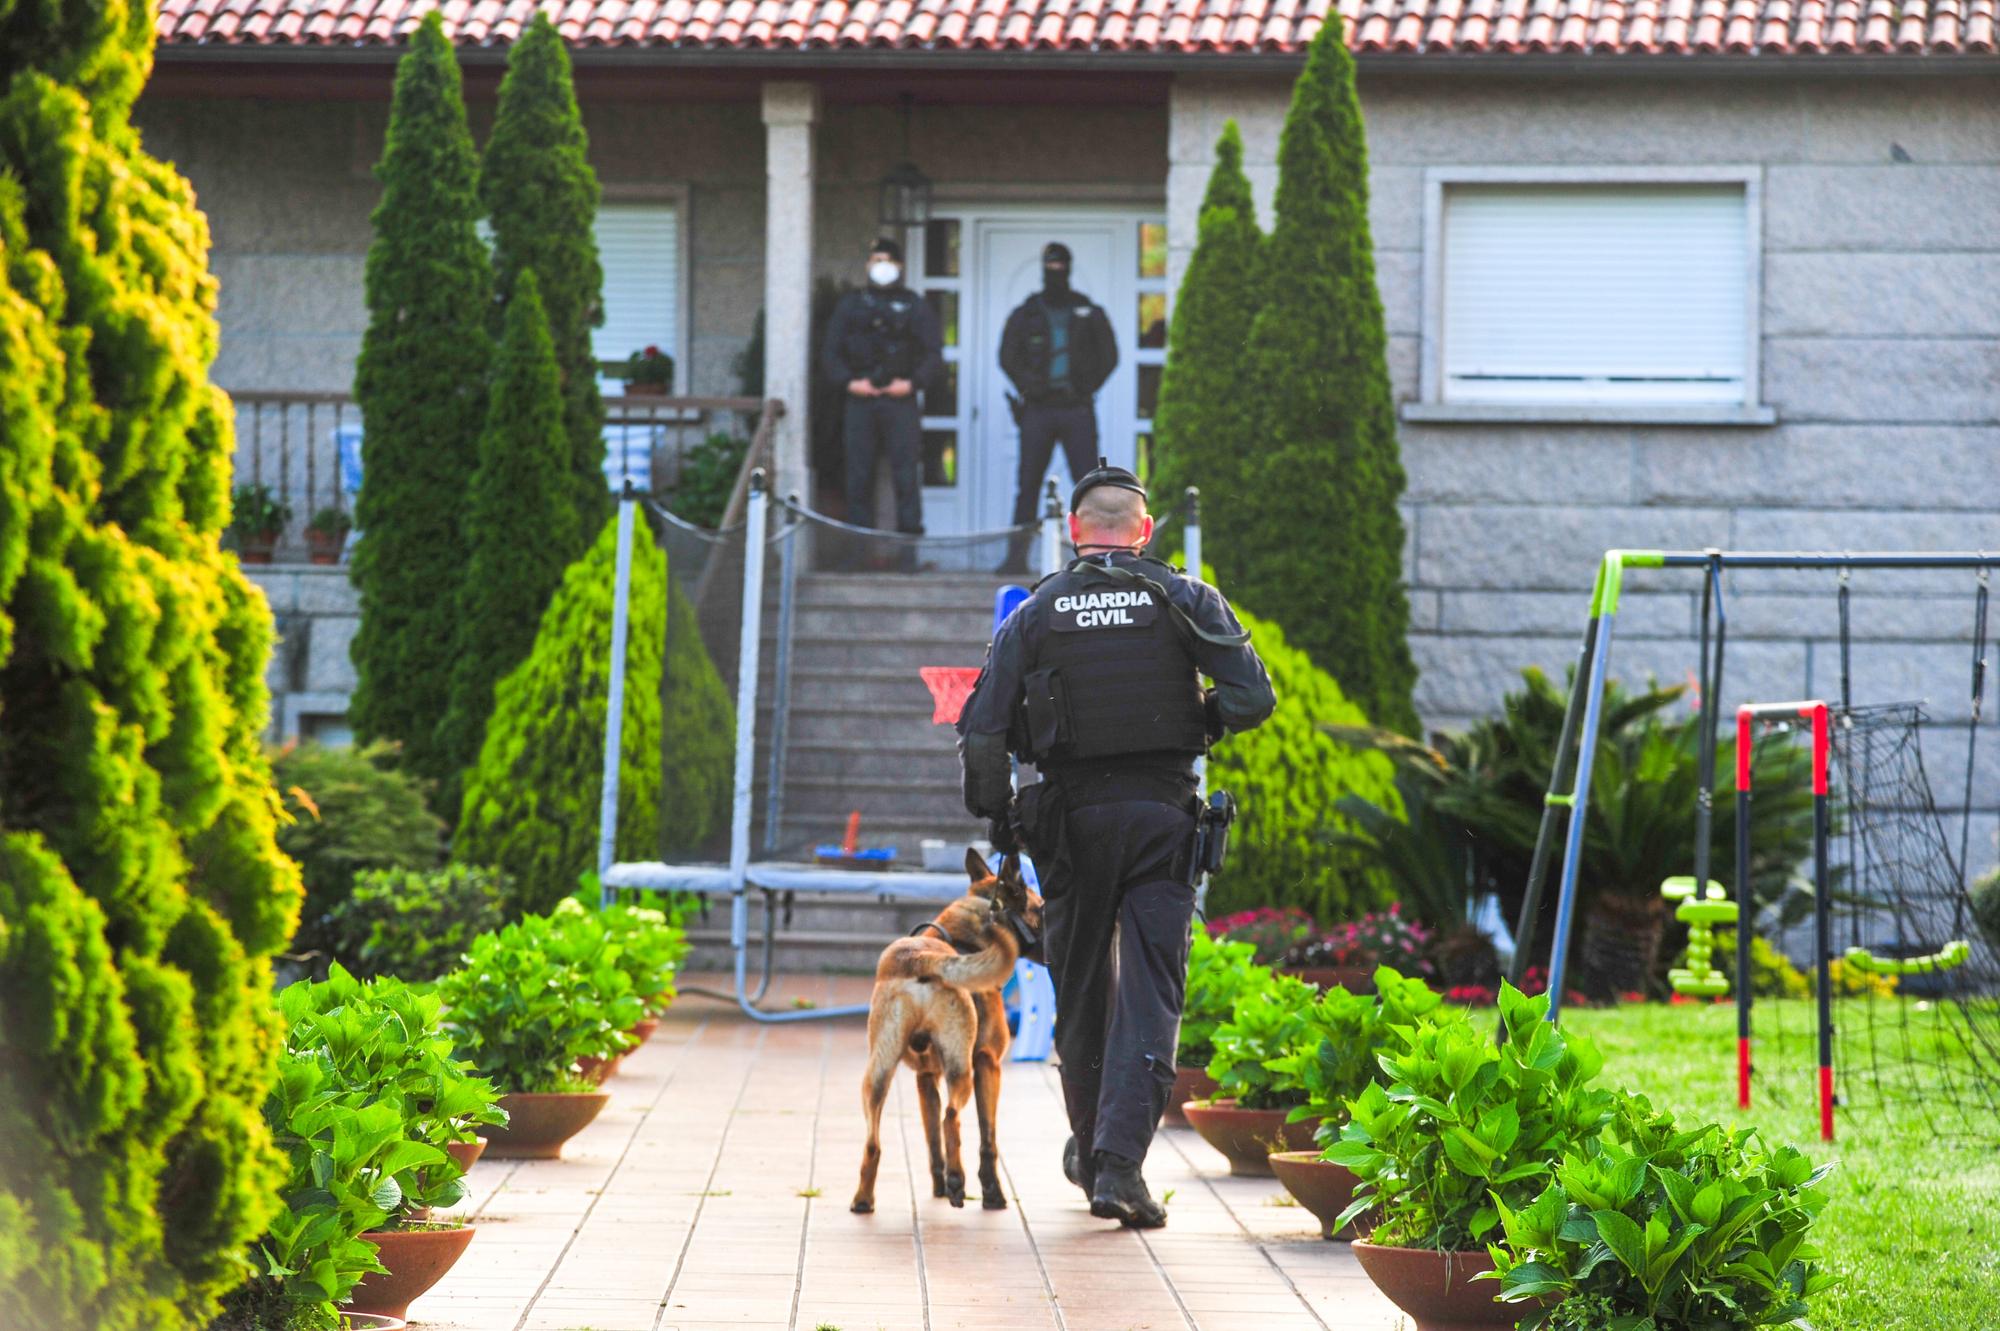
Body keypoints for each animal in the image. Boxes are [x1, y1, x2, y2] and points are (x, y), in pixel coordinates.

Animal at [852, 851, 1048, 1215]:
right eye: (1040, 907)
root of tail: (919, 958)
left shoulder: (925, 1078)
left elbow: (932, 1143)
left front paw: (939, 1186)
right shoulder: (988, 1065)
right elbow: (988, 1140)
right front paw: (991, 1194)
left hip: (877, 1075)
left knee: (874, 1142)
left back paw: (863, 1200)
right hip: (961, 1069)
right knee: (952, 1118)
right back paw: (958, 1182)